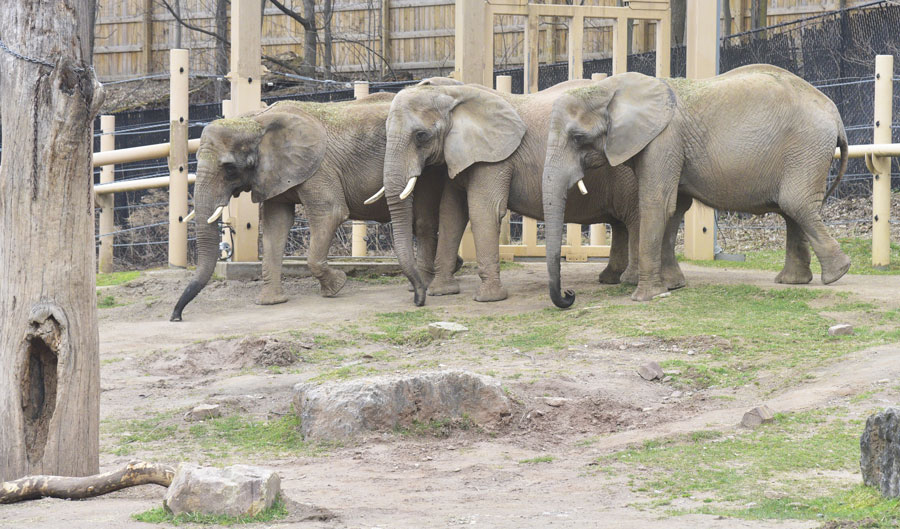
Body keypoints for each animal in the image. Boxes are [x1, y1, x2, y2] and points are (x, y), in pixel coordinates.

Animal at [170, 93, 450, 320]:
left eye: (229, 169)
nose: (176, 316)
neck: (257, 120)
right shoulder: (274, 174)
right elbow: (276, 225)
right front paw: (271, 302)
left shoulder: (319, 167)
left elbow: (330, 212)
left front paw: (337, 287)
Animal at [376, 76, 684, 304]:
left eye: (421, 135)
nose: (418, 299)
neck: (452, 93)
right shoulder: (460, 155)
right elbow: (452, 214)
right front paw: (442, 292)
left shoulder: (495, 158)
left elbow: (483, 211)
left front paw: (489, 299)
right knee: (620, 222)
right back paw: (609, 278)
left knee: (634, 217)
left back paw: (629, 281)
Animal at [540, 64, 852, 304]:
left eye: (578, 138)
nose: (569, 295)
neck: (610, 89)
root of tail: (835, 114)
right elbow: (676, 207)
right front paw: (673, 286)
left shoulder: (664, 140)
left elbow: (657, 204)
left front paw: (645, 297)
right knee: (791, 209)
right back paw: (794, 281)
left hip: (806, 147)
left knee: (795, 204)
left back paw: (837, 274)